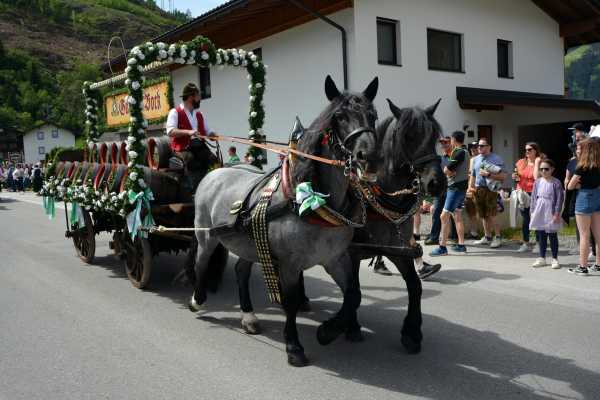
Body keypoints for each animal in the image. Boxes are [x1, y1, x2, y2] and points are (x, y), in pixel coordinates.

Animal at [190, 75, 378, 366]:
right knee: (201, 263)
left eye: (373, 115)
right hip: (206, 236)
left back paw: (248, 316)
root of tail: (216, 172)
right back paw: (198, 299)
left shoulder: (335, 258)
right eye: (339, 117)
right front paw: (294, 346)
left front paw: (330, 330)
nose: (367, 157)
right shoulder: (290, 264)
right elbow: (290, 302)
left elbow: (353, 294)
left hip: (249, 242)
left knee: (241, 271)